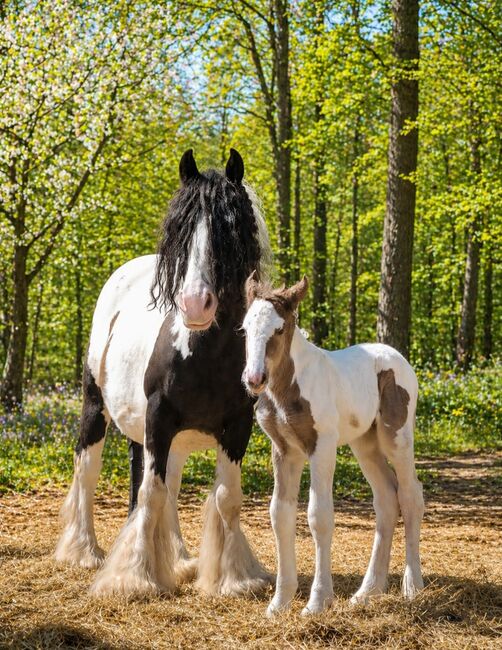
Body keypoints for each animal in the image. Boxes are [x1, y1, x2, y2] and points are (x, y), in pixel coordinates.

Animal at [55, 149, 273, 598]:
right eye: (180, 231)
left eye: (230, 229)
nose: (194, 305)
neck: (205, 355)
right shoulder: (158, 418)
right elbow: (150, 493)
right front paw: (134, 578)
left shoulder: (237, 426)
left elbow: (226, 497)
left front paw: (233, 578)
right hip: (96, 410)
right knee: (89, 469)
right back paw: (83, 552)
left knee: (168, 485)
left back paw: (178, 560)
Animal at [241, 273, 424, 616]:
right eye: (245, 329)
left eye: (279, 329)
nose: (254, 379)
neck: (288, 389)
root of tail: (397, 356)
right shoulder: (284, 451)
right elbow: (280, 514)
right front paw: (279, 602)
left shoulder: (322, 446)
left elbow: (319, 516)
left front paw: (317, 601)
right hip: (365, 444)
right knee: (386, 498)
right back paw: (367, 592)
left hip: (398, 438)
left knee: (410, 496)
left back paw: (412, 586)